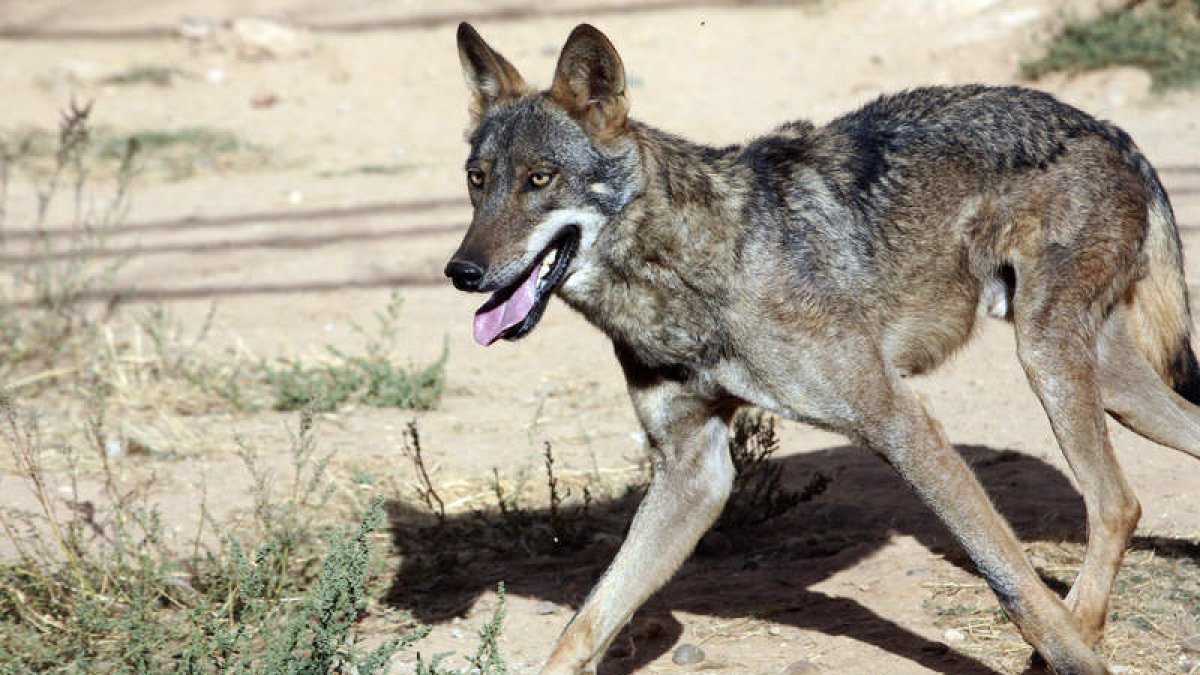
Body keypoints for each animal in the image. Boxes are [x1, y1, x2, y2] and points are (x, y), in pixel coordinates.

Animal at [444, 21, 1200, 675]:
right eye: (478, 180)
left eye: (541, 178)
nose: (462, 272)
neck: (693, 266)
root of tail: (1110, 129)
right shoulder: (694, 470)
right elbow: (586, 622)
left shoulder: (899, 420)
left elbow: (1011, 580)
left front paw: (1072, 656)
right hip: (1109, 383)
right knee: (1140, 483)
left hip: (1048, 360)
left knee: (1114, 502)